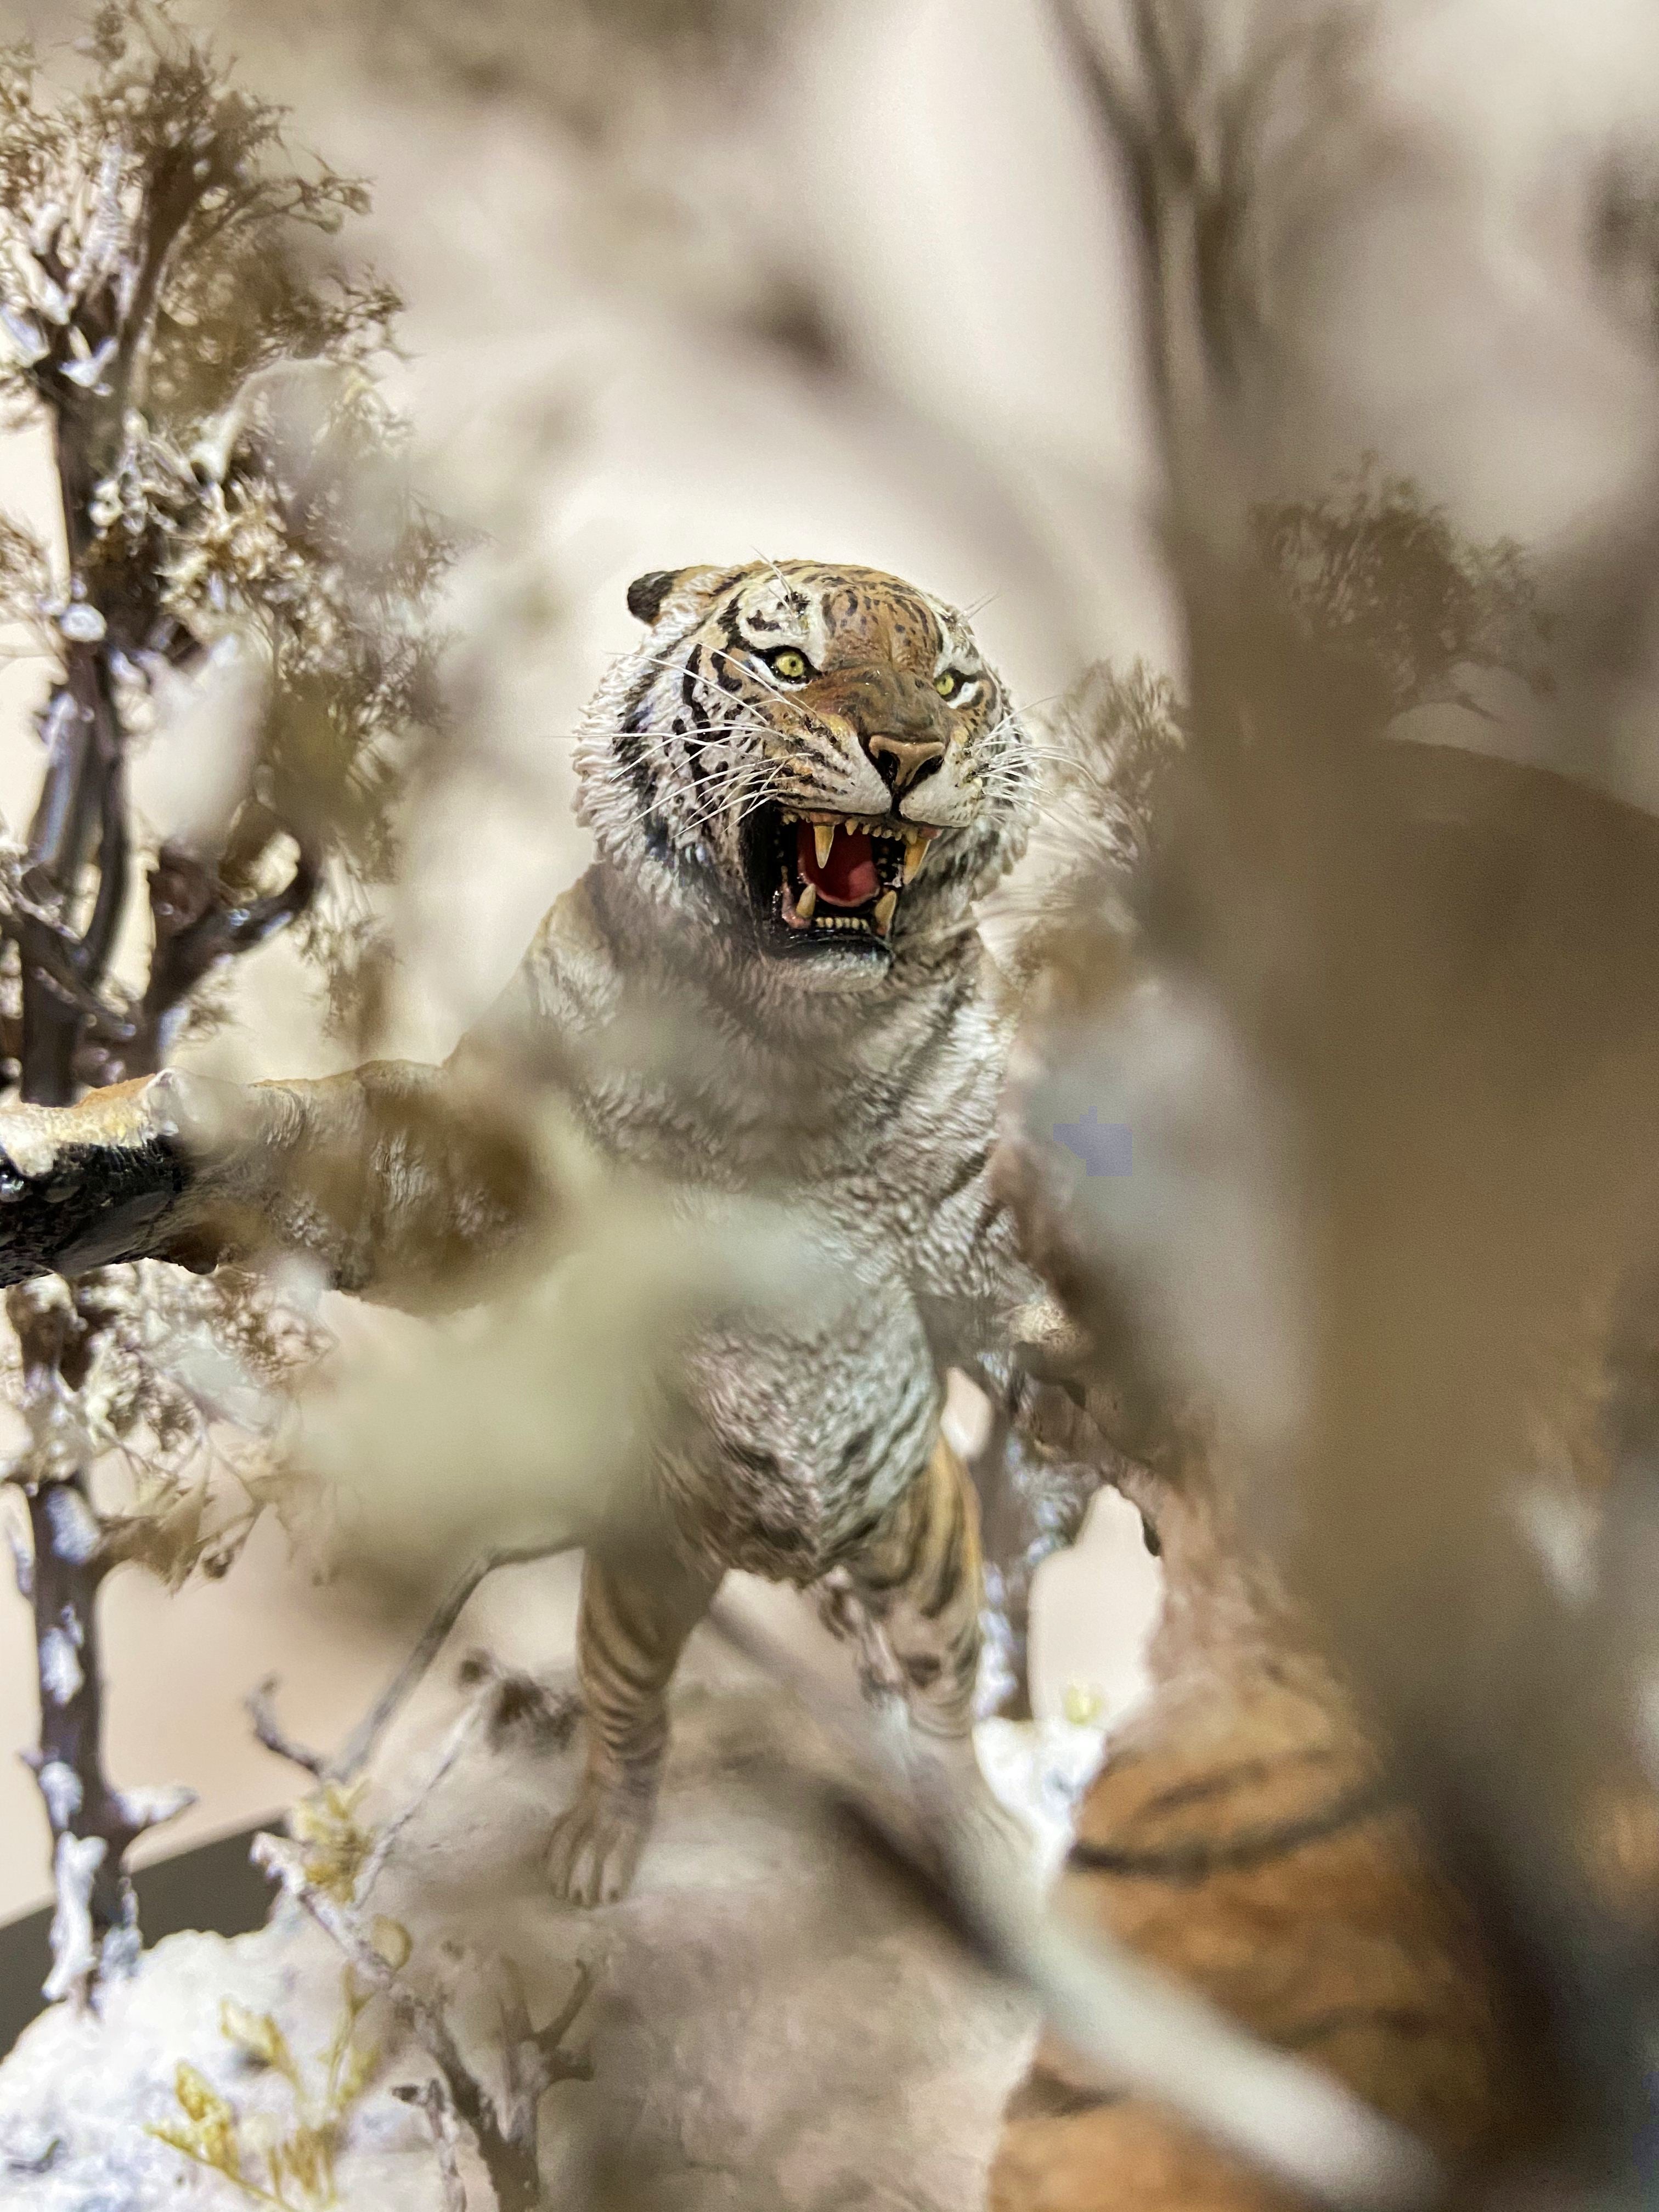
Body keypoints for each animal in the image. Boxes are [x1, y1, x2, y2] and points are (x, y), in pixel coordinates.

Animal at [0, 558, 1043, 1906]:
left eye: (955, 685)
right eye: (791, 665)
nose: (910, 752)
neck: (790, 1045)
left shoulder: (983, 1210)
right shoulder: (482, 1163)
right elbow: (321, 1149)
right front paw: (104, 1145)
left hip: (925, 1548)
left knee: (947, 1698)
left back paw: (977, 1829)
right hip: (645, 1571)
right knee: (628, 1713)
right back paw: (596, 1853)